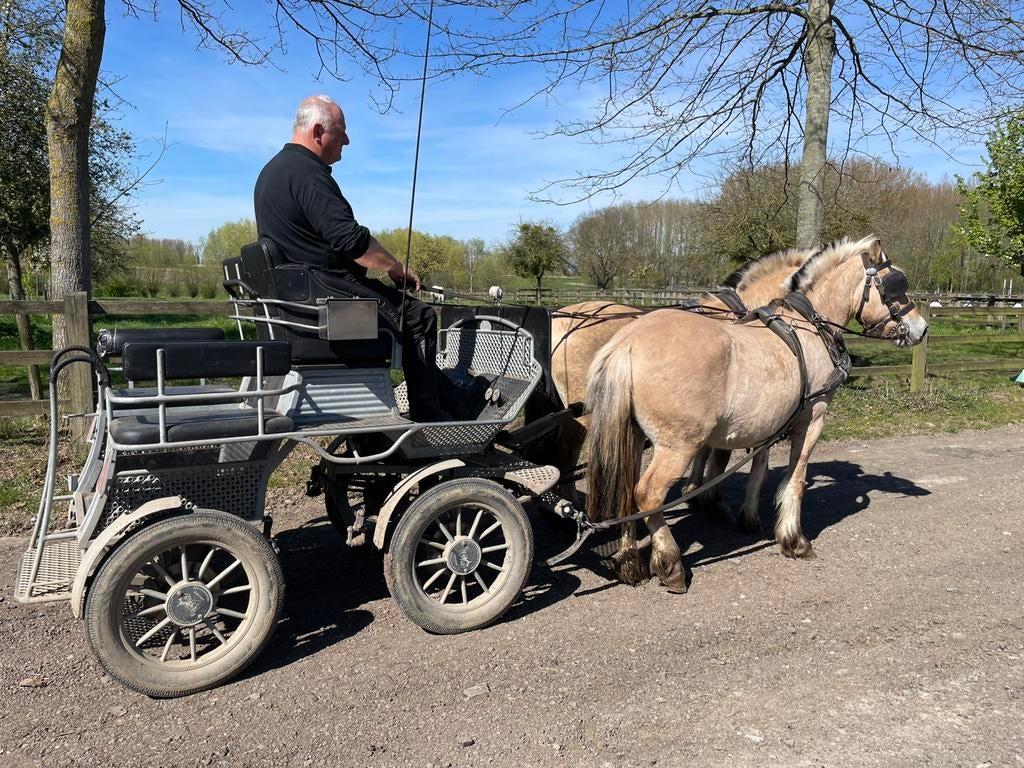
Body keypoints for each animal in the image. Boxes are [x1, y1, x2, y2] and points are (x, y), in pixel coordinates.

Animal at [584, 236, 928, 593]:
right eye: (894, 284)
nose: (922, 328)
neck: (809, 325)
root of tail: (627, 343)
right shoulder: (811, 419)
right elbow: (796, 479)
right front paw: (793, 539)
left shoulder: (766, 422)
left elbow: (759, 470)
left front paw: (745, 516)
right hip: (678, 445)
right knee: (648, 495)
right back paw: (670, 564)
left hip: (633, 435)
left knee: (624, 490)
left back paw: (629, 563)